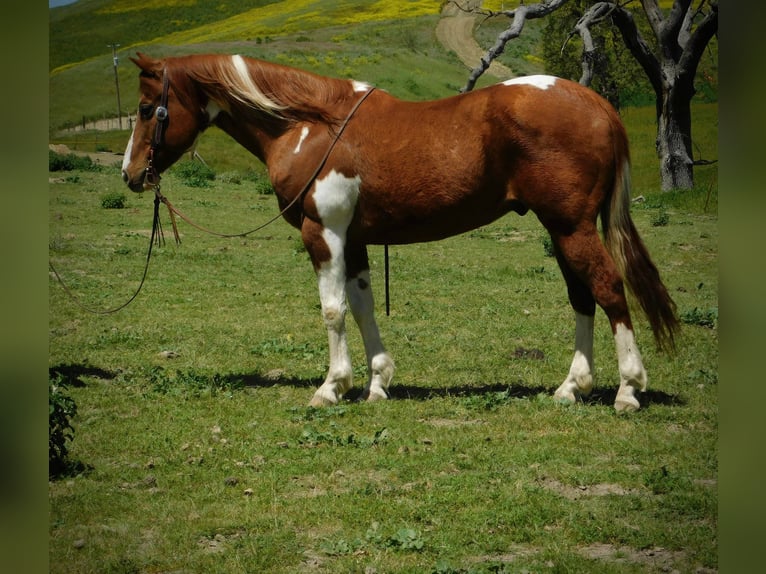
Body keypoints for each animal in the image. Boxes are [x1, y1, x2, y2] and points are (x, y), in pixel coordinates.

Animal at [120, 53, 680, 414]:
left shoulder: (323, 233)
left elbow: (332, 310)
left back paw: (628, 391)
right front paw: (377, 382)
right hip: (563, 230)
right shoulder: (355, 239)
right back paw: (571, 387)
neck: (309, 125)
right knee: (583, 297)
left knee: (608, 290)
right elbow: (361, 306)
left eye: (148, 109)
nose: (130, 174)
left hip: (571, 228)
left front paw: (332, 387)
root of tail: (597, 103)